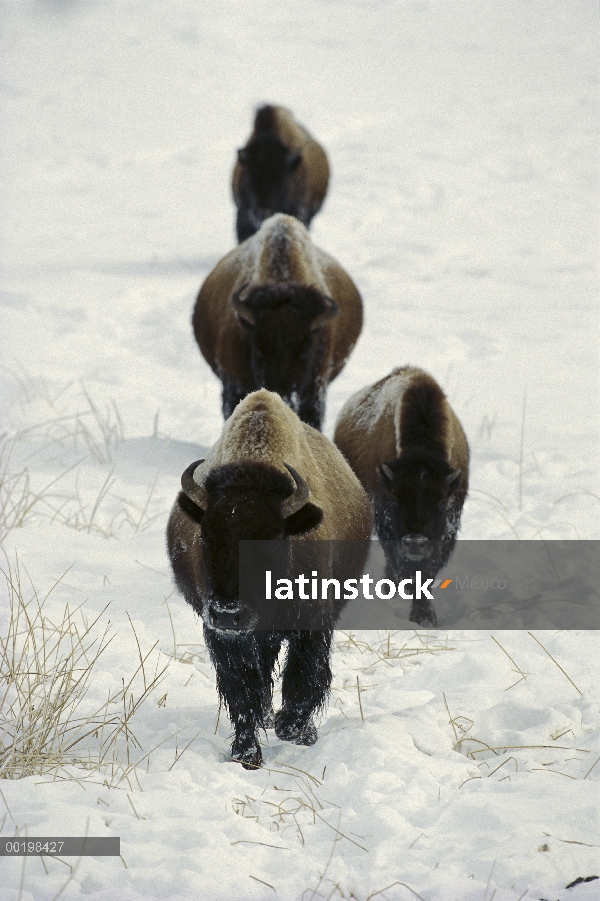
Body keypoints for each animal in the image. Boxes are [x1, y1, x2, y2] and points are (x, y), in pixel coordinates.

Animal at [164, 386, 370, 768]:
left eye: (273, 539)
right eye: (205, 535)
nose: (228, 612)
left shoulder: (311, 625)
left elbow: (302, 679)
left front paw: (294, 729)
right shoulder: (224, 637)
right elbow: (242, 691)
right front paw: (247, 754)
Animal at [332, 366, 468, 624]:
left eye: (442, 501)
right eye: (395, 499)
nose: (415, 542)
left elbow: (427, 572)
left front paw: (425, 617)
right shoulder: (386, 522)